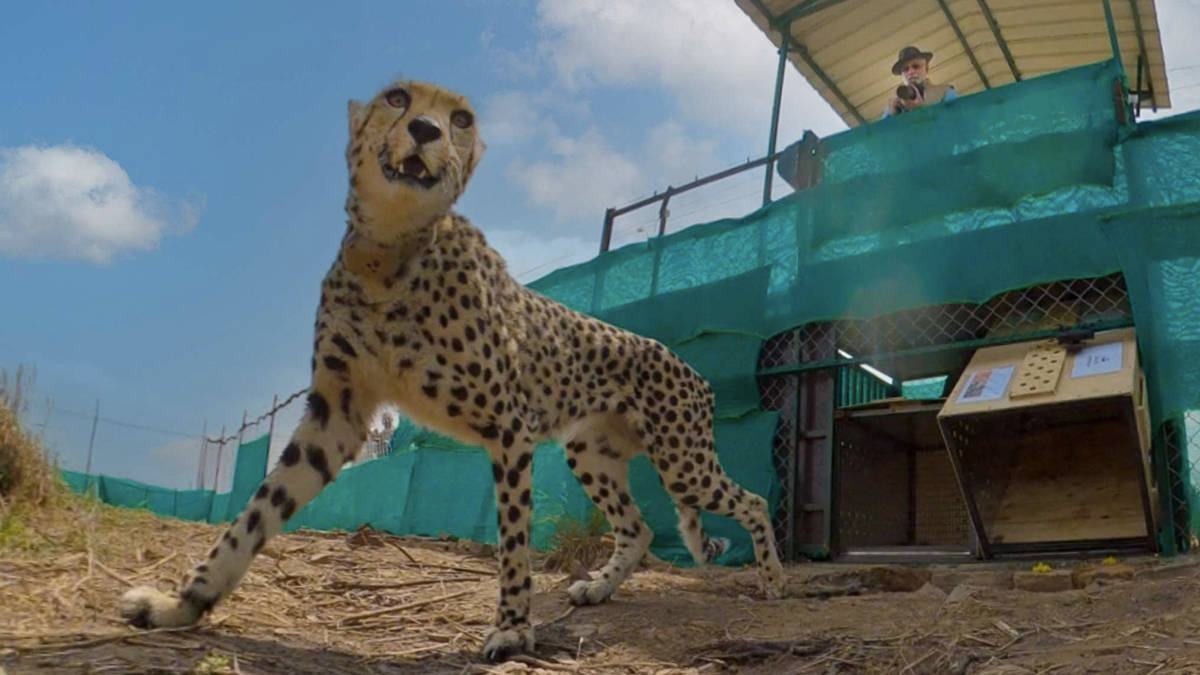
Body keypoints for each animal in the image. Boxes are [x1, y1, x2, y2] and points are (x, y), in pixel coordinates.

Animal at [117, 79, 785, 662]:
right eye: (396, 99)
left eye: (459, 118)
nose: (424, 130)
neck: (389, 251)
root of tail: (687, 363)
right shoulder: (338, 414)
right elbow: (253, 516)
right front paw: (182, 605)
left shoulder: (510, 427)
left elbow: (513, 539)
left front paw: (513, 631)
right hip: (591, 453)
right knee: (641, 528)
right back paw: (599, 586)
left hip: (682, 462)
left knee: (752, 499)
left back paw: (773, 580)